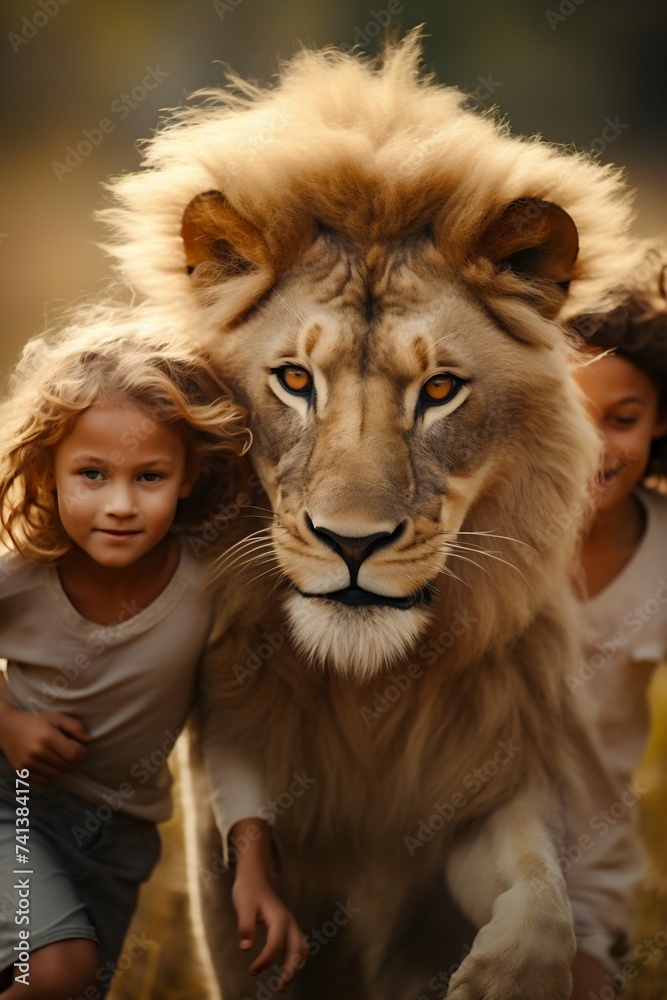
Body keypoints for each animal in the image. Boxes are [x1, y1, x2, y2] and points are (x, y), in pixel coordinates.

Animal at [101, 34, 642, 999]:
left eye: (440, 390)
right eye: (293, 380)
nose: (351, 544)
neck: (362, 693)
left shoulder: (482, 779)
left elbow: (538, 891)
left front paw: (503, 974)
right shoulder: (220, 819)